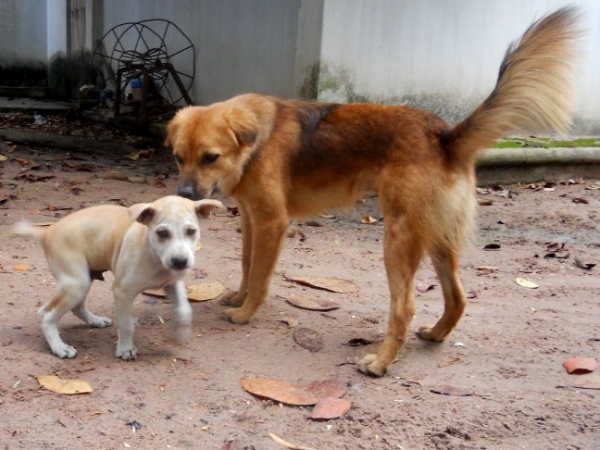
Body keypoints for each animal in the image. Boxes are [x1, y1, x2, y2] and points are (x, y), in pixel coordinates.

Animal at [12, 195, 224, 360]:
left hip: (83, 279)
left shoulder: (172, 284)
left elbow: (185, 310)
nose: (180, 261)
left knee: (70, 308)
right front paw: (125, 349)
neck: (154, 255)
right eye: (162, 233)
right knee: (47, 315)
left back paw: (95, 321)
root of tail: (47, 231)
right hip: (76, 283)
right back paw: (59, 347)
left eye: (191, 231)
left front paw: (179, 334)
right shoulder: (122, 292)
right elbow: (126, 324)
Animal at [166, 8, 580, 378]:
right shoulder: (252, 219)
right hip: (437, 238)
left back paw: (380, 363)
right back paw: (435, 334)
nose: (184, 193)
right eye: (178, 157)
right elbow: (247, 265)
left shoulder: (271, 222)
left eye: (211, 157)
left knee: (405, 307)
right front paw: (238, 297)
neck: (256, 142)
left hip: (398, 237)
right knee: (458, 297)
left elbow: (260, 276)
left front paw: (245, 312)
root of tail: (443, 136)